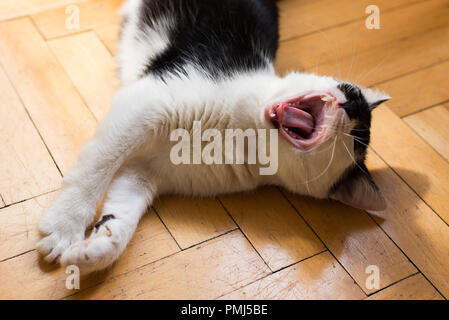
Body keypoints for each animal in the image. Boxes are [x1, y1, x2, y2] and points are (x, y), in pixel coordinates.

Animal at [37, 0, 388, 274]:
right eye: (350, 91)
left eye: (357, 138)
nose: (352, 106)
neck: (237, 135)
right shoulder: (145, 105)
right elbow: (96, 168)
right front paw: (65, 226)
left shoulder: (144, 171)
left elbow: (120, 214)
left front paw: (93, 251)